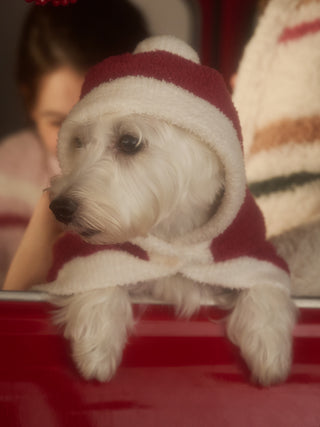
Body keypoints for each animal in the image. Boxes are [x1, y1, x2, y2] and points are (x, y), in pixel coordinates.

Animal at [38, 36, 298, 386]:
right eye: (78, 141)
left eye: (129, 141)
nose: (60, 207)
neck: (172, 236)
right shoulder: (89, 259)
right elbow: (96, 276)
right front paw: (96, 346)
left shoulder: (249, 254)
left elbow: (265, 286)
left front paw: (269, 348)